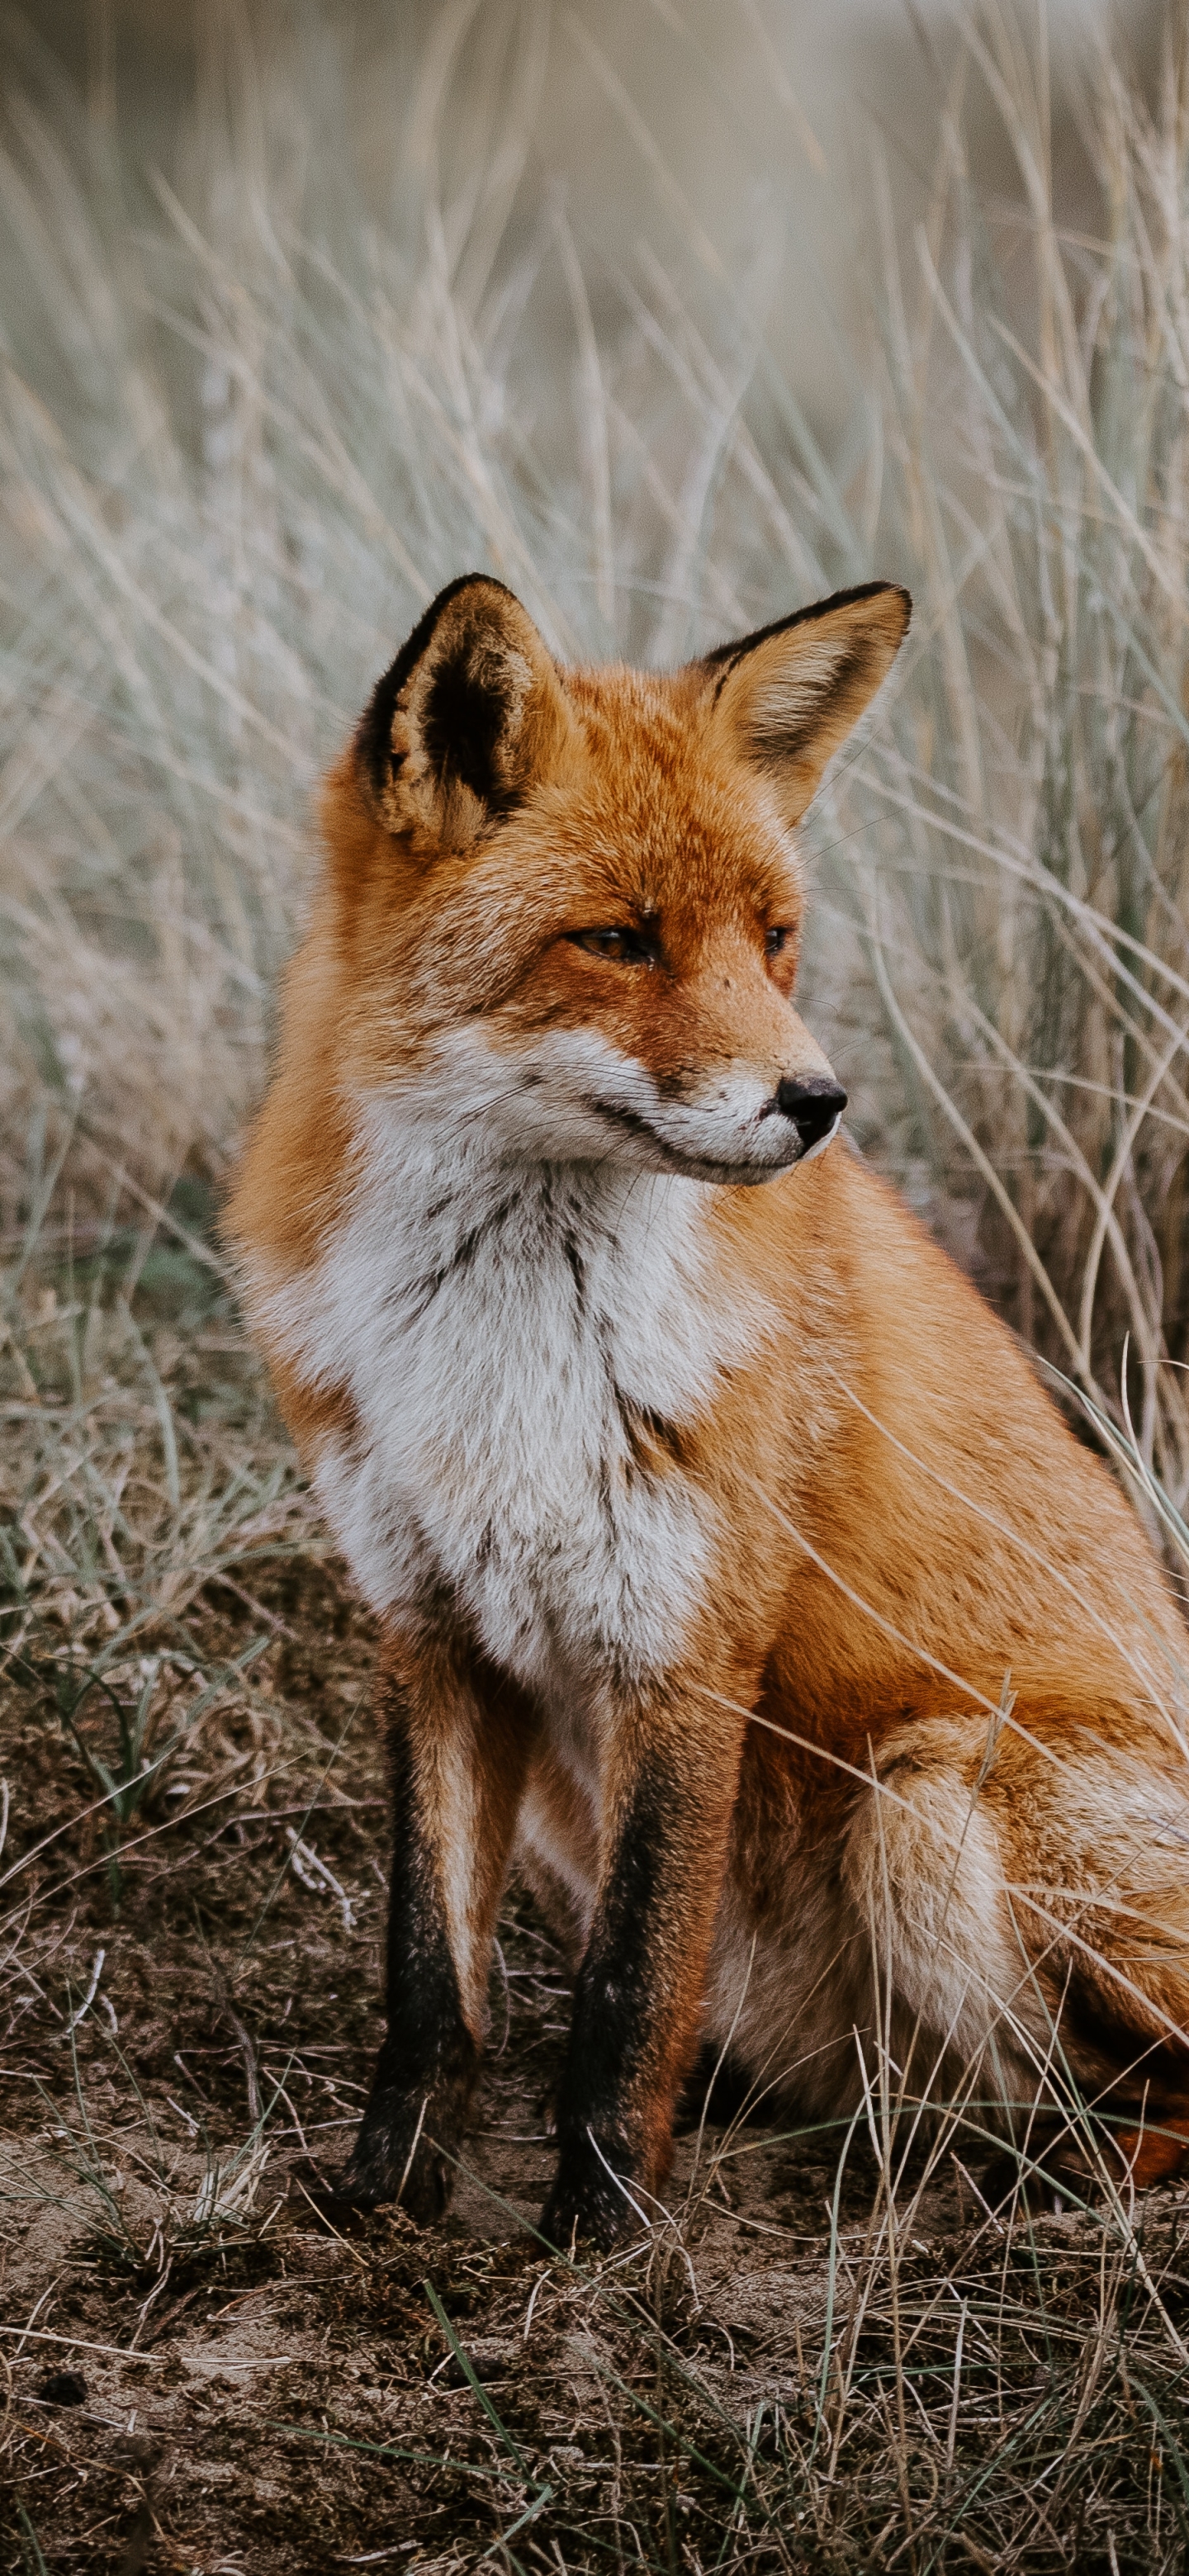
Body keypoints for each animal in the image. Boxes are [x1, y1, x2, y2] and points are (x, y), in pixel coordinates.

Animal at [230, 574, 1189, 2246]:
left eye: (774, 940)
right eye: (617, 939)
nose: (819, 1105)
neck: (504, 1352)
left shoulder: (685, 1648)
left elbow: (628, 1991)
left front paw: (602, 2244)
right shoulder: (428, 1629)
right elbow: (430, 1985)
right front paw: (382, 2206)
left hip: (929, 1801)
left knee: (1152, 2100)